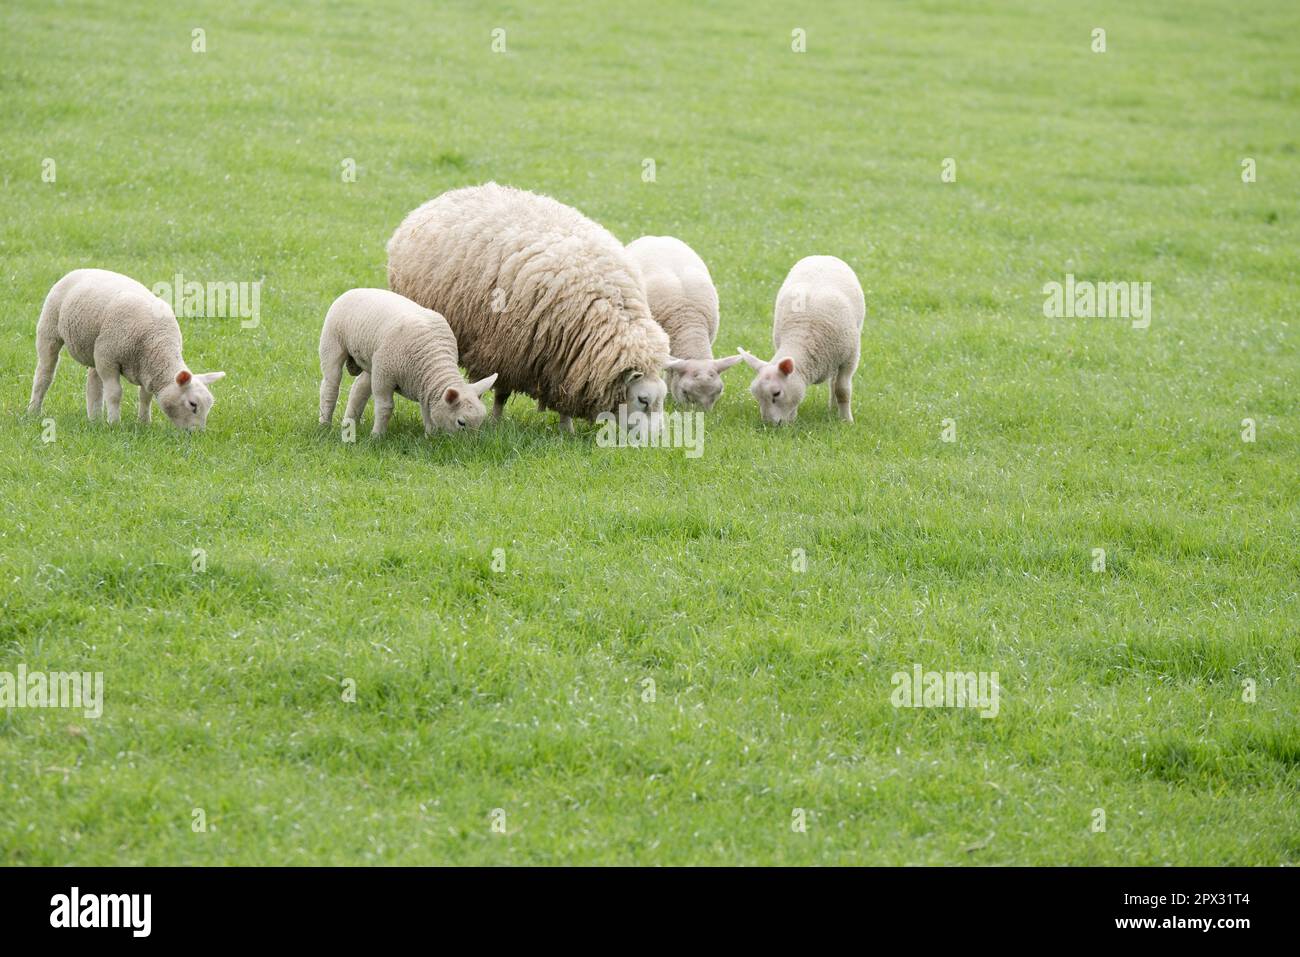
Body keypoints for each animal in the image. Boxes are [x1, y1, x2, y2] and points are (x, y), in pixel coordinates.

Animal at [27, 268, 225, 430]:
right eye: (193, 404)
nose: (197, 434)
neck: (158, 343)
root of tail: (79, 270)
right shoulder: (109, 359)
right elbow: (115, 393)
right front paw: (114, 423)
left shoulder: (146, 369)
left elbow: (145, 396)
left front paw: (144, 422)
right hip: (50, 329)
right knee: (44, 374)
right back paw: (34, 411)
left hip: (96, 348)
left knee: (93, 384)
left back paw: (94, 419)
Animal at [318, 288, 498, 437]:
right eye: (461, 422)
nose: (470, 445)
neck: (432, 359)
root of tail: (353, 290)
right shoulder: (384, 376)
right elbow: (385, 407)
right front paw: (376, 437)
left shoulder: (425, 386)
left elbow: (427, 411)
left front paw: (430, 436)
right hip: (332, 344)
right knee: (330, 387)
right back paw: (325, 424)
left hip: (373, 362)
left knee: (359, 388)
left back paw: (349, 423)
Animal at [386, 183, 670, 434]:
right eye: (643, 400)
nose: (655, 439)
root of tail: (443, 197)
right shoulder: (504, 349)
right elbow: (501, 392)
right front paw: (496, 423)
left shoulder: (565, 361)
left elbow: (564, 396)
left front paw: (567, 430)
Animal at [738, 255, 864, 425]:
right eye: (756, 396)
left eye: (776, 393)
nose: (769, 425)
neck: (803, 335)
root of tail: (821, 256)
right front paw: (792, 419)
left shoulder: (850, 359)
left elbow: (842, 390)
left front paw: (847, 421)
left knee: (834, 383)